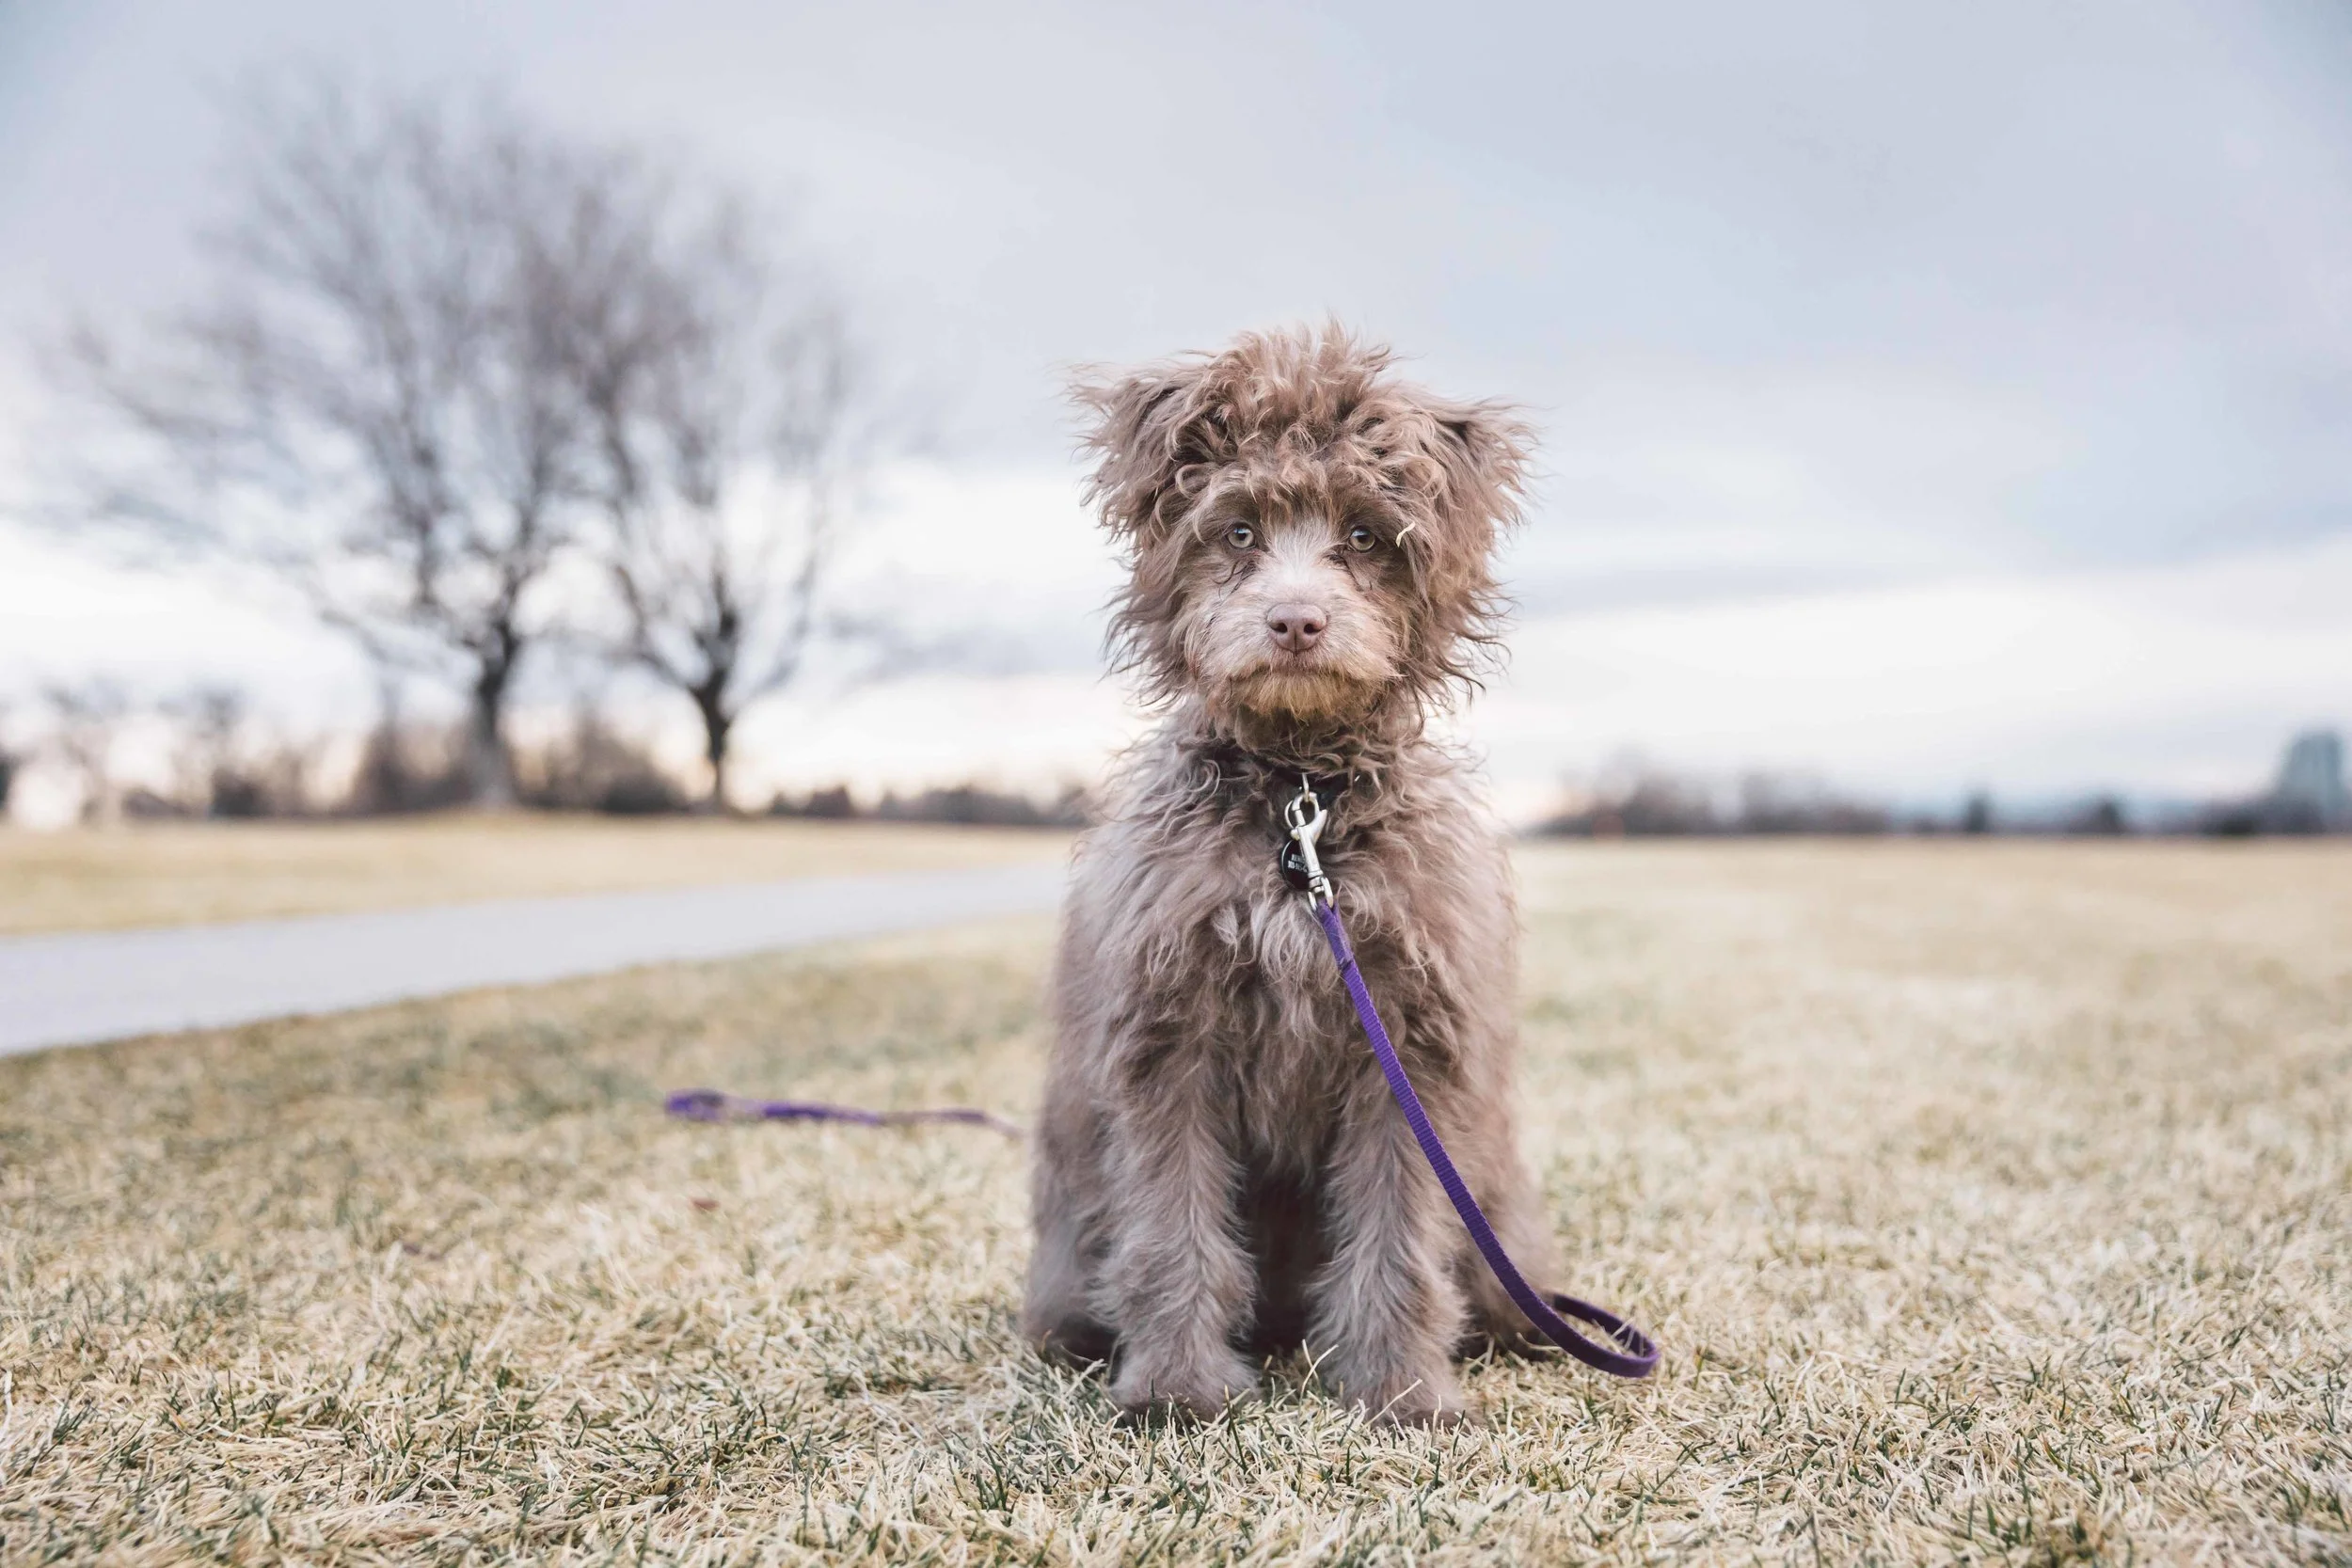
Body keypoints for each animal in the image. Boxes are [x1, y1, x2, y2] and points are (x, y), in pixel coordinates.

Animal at [1023, 324, 1551, 1427]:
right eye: (1235, 531)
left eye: (1364, 534)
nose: (1297, 621)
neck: (1297, 800)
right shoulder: (1167, 1038)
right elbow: (1171, 1230)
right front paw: (1177, 1386)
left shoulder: (1410, 1045)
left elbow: (1400, 1237)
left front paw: (1400, 1388)